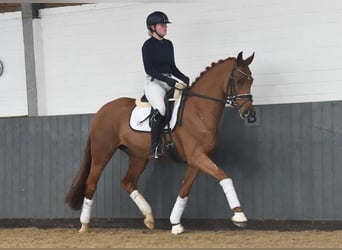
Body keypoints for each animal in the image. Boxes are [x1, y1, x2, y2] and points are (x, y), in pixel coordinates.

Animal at [65, 50, 255, 234]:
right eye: (239, 80)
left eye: (251, 80)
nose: (249, 113)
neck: (198, 110)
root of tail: (101, 111)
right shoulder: (197, 157)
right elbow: (224, 176)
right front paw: (239, 215)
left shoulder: (196, 160)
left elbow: (184, 190)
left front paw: (175, 224)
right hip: (102, 153)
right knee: (91, 184)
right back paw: (84, 225)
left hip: (138, 157)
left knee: (128, 182)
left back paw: (149, 217)